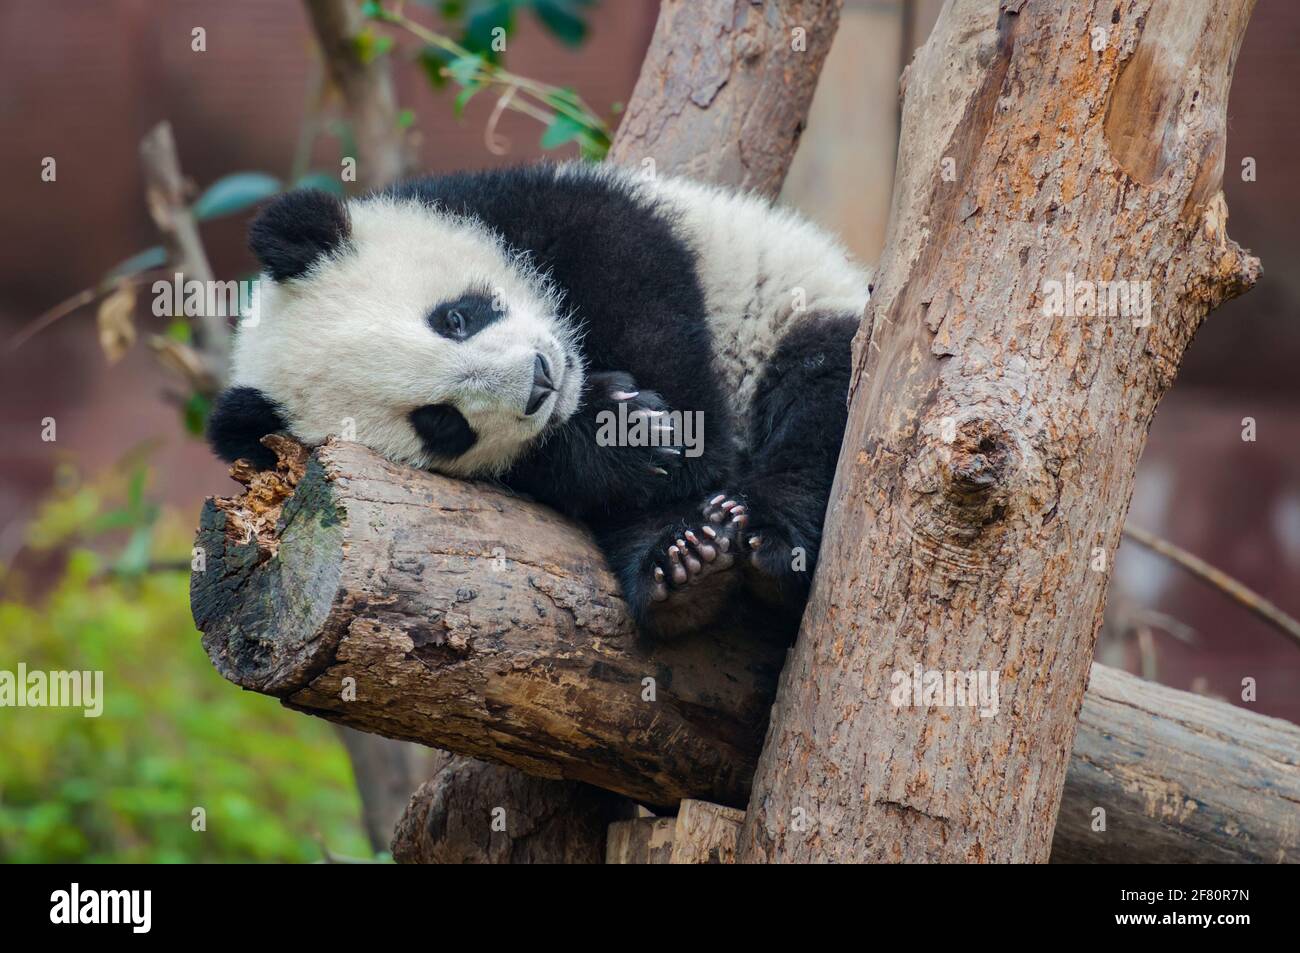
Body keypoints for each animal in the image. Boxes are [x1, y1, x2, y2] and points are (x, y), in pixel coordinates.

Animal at [207, 162, 870, 639]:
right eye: (440, 423)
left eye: (454, 318)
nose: (540, 383)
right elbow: (559, 471)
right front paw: (622, 439)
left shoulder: (533, 205)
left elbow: (635, 276)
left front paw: (671, 439)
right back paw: (682, 568)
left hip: (801, 313)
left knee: (817, 397)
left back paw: (766, 538)